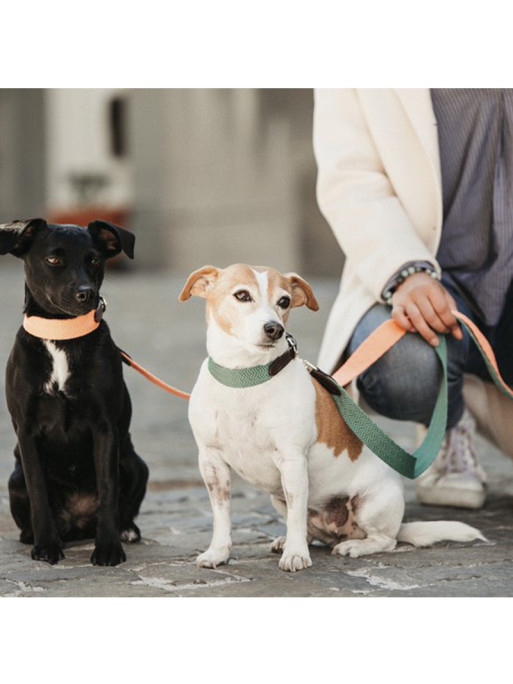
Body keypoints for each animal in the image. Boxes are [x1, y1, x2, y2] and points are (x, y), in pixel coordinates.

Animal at [0, 218, 148, 568]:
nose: (86, 294)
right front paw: (46, 546)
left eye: (94, 260)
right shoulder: (27, 431)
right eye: (53, 259)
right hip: (14, 478)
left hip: (136, 464)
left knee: (123, 506)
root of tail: (79, 522)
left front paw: (108, 548)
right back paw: (33, 536)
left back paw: (126, 530)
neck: (62, 335)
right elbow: (38, 492)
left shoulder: (104, 428)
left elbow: (108, 490)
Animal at [179, 264, 484, 572]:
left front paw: (296, 555)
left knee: (385, 540)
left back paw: (353, 546)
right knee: (308, 529)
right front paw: (218, 552)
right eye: (242, 295)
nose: (275, 329)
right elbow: (222, 515)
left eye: (284, 301)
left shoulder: (292, 462)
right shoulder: (211, 463)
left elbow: (296, 514)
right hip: (278, 498)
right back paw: (288, 541)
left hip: (371, 503)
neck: (245, 377)